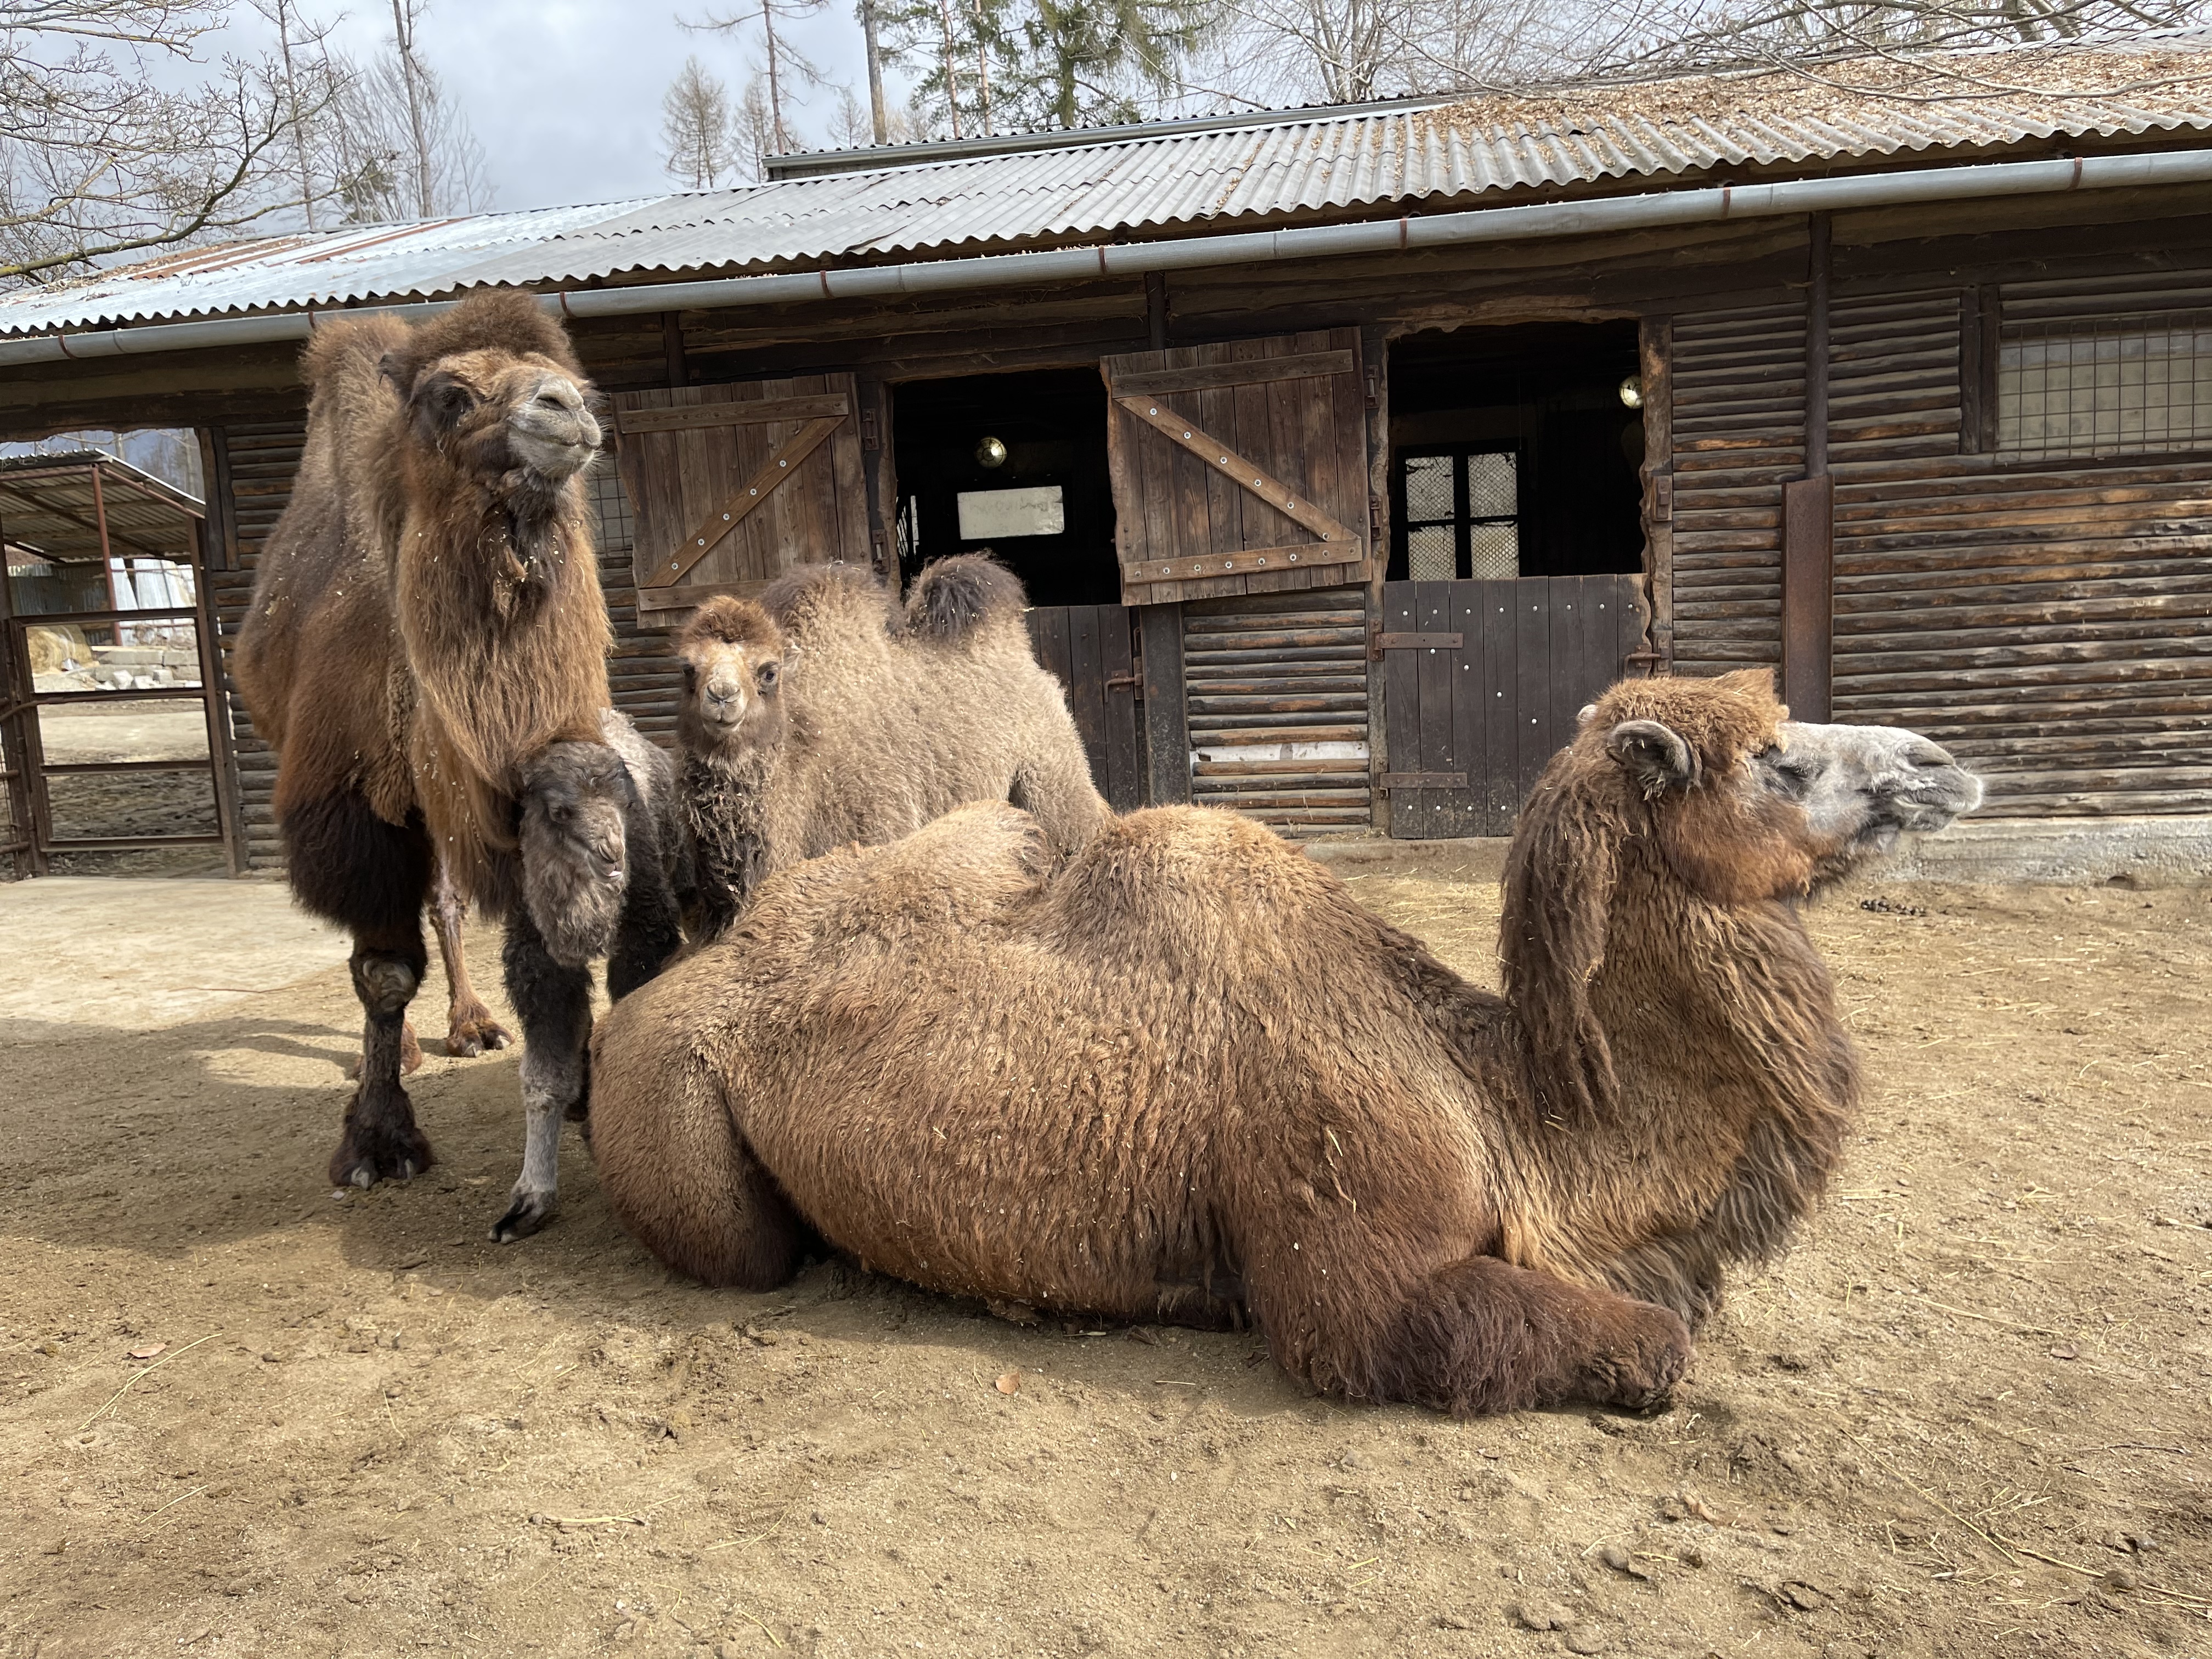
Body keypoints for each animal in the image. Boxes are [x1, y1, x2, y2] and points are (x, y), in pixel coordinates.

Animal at [234, 290, 670, 1205]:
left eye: (576, 381)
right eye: (450, 396)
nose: (567, 410)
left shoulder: (524, 786)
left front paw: (580, 1092)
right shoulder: (350, 810)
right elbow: (383, 971)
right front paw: (378, 1142)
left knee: (445, 902)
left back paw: (471, 1024)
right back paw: (402, 1051)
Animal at [586, 670, 1981, 1415]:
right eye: (1773, 761)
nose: (1946, 761)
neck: (1503, 1110)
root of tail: (650, 1007)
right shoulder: (1354, 1277)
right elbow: (1646, 1346)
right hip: (678, 1127)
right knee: (752, 1251)